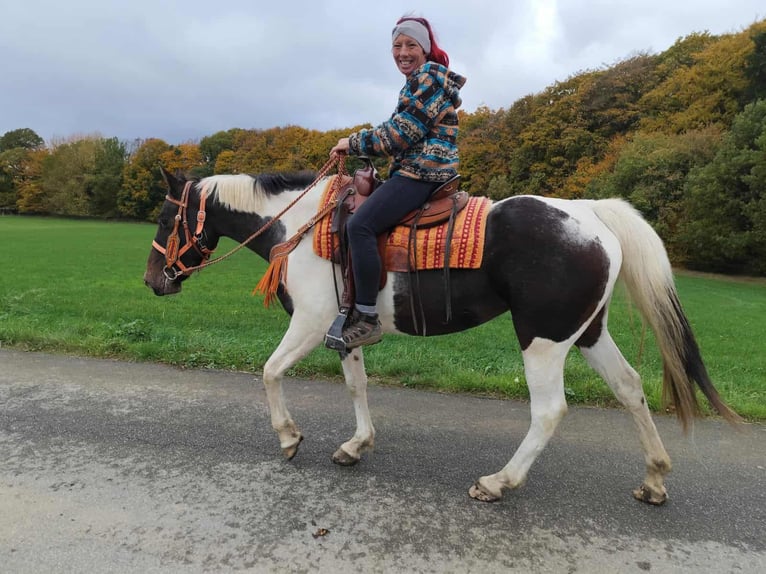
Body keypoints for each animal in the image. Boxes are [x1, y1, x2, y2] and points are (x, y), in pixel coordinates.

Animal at [143, 166, 740, 505]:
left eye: (165, 219)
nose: (153, 281)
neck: (301, 226)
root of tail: (589, 214)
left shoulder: (309, 323)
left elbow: (268, 372)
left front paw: (289, 439)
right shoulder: (346, 330)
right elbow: (357, 387)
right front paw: (356, 445)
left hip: (543, 341)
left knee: (549, 411)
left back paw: (498, 483)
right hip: (588, 333)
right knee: (631, 388)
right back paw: (655, 478)